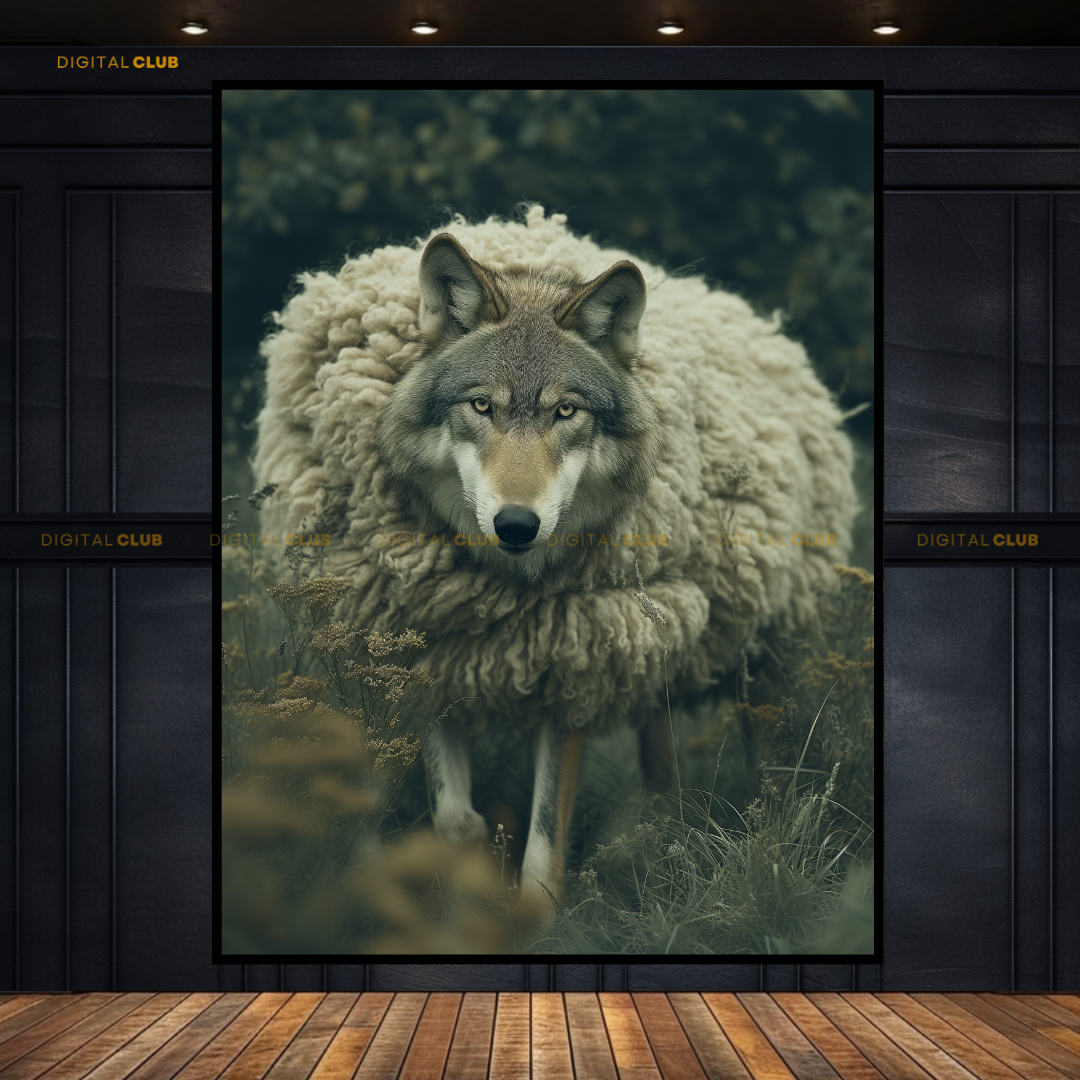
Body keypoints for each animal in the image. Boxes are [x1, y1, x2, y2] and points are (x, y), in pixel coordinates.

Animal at [375, 232, 670, 912]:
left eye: (565, 413)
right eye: (482, 406)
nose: (515, 524)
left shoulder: (574, 668)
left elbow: (544, 847)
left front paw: (532, 917)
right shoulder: (430, 652)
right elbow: (455, 817)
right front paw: (472, 883)